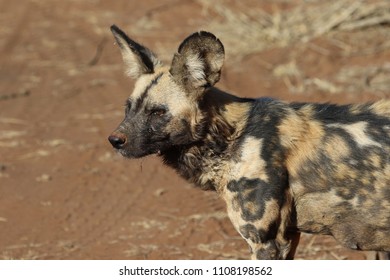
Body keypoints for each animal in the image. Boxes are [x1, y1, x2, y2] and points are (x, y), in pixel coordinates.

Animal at [108, 25, 390, 260]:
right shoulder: (289, 237)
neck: (231, 136)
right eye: (128, 108)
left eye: (157, 112)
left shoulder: (268, 242)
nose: (115, 140)